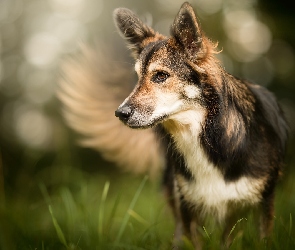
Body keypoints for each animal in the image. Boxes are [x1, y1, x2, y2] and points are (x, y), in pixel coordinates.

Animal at [58, 1, 290, 248]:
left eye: (160, 76)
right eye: (138, 77)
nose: (120, 113)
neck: (206, 136)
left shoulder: (264, 203)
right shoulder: (188, 207)